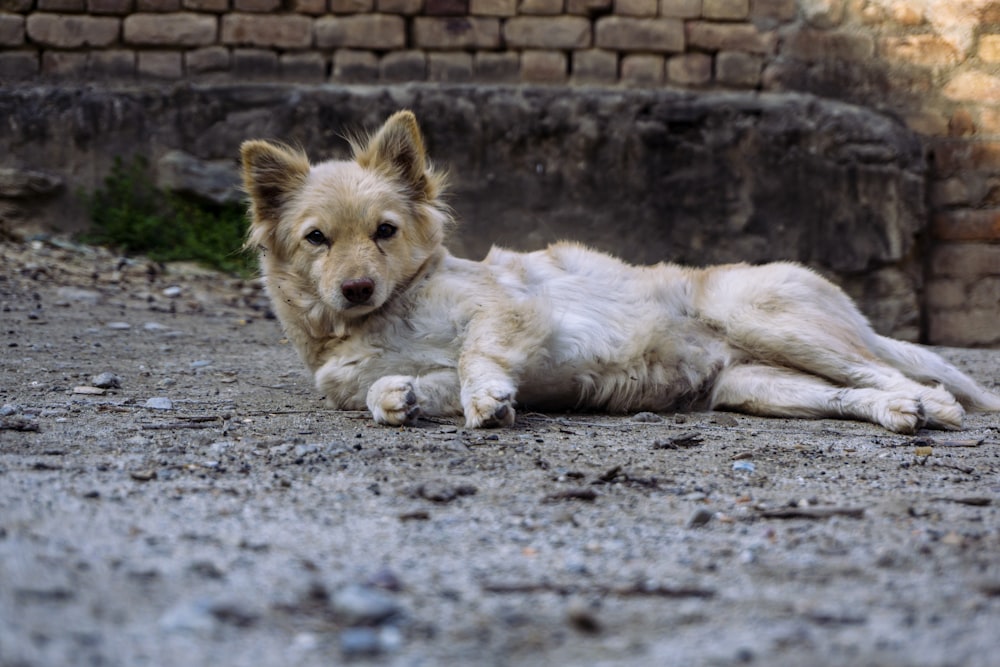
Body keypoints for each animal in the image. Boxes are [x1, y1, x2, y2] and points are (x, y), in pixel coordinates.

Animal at [242, 109, 1000, 434]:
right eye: (317, 239)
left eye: (385, 231)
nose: (356, 288)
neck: (383, 316)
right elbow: (400, 387)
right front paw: (397, 399)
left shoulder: (513, 310)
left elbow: (475, 356)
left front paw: (486, 397)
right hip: (759, 384)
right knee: (854, 394)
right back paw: (900, 414)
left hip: (772, 321)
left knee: (904, 375)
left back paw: (933, 405)